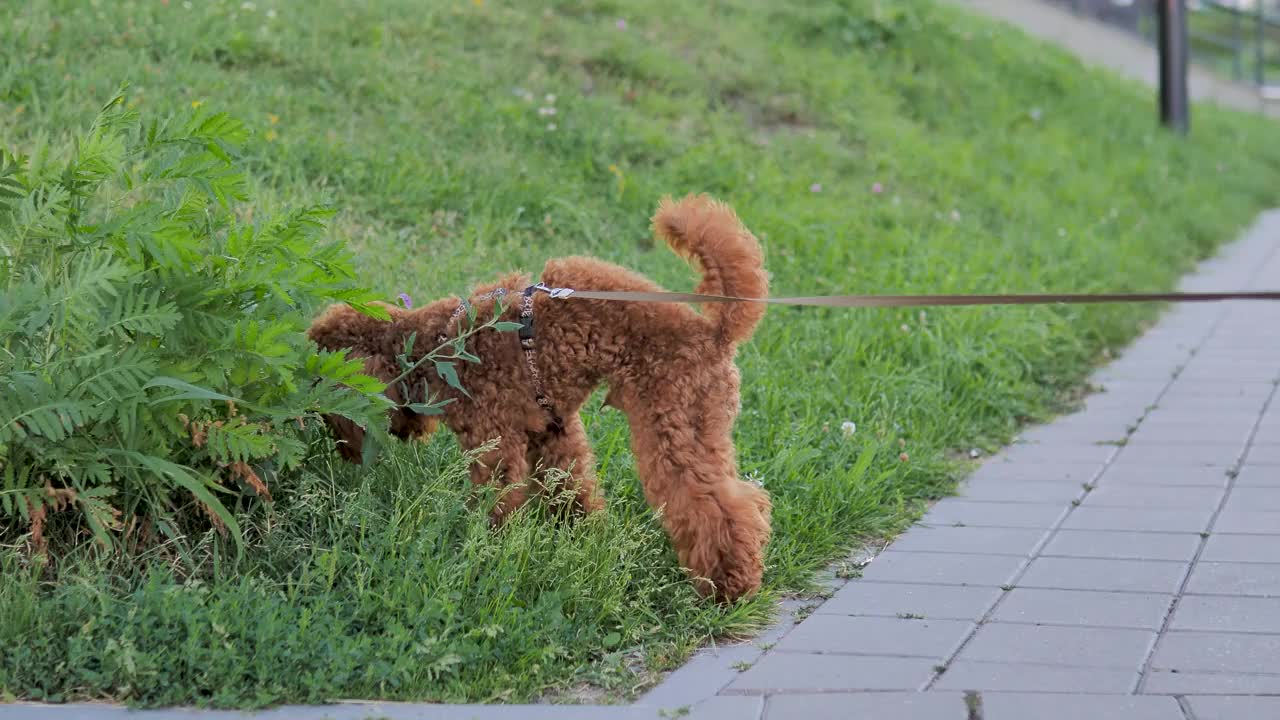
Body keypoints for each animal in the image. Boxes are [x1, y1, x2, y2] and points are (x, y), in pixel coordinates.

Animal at [307, 192, 768, 599]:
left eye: (330, 409)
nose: (345, 454)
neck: (438, 346)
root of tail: (714, 331)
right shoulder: (553, 432)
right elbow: (570, 490)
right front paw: (581, 538)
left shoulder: (494, 443)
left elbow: (498, 501)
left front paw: (488, 553)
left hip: (676, 422)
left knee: (719, 507)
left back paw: (727, 585)